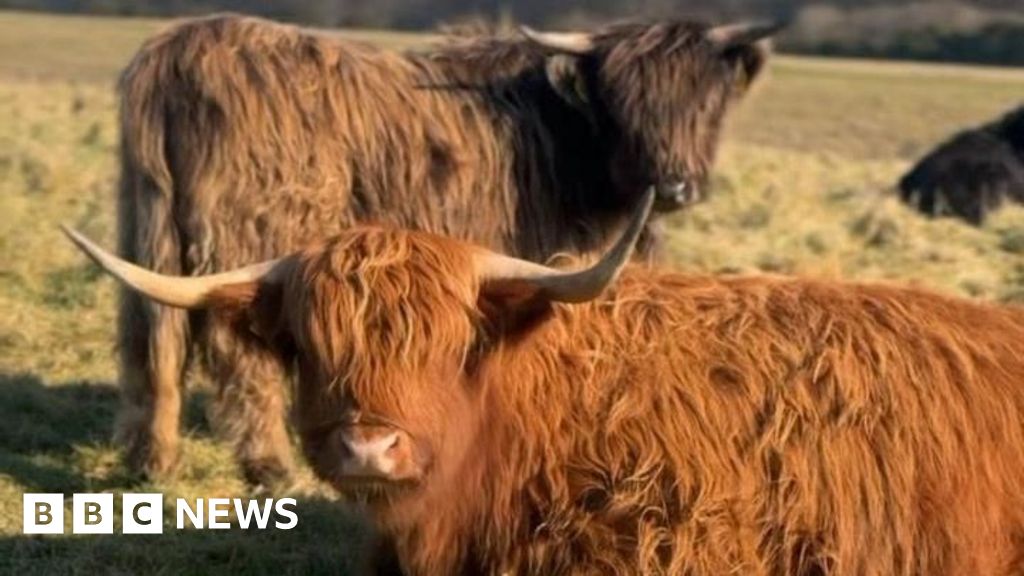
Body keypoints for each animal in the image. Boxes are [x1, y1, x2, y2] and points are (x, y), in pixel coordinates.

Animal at [117, 13, 780, 486]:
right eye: (624, 101)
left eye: (705, 102)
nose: (673, 185)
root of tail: (177, 49)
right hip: (256, 234)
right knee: (236, 357)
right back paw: (270, 467)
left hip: (148, 222)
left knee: (151, 340)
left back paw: (151, 458)